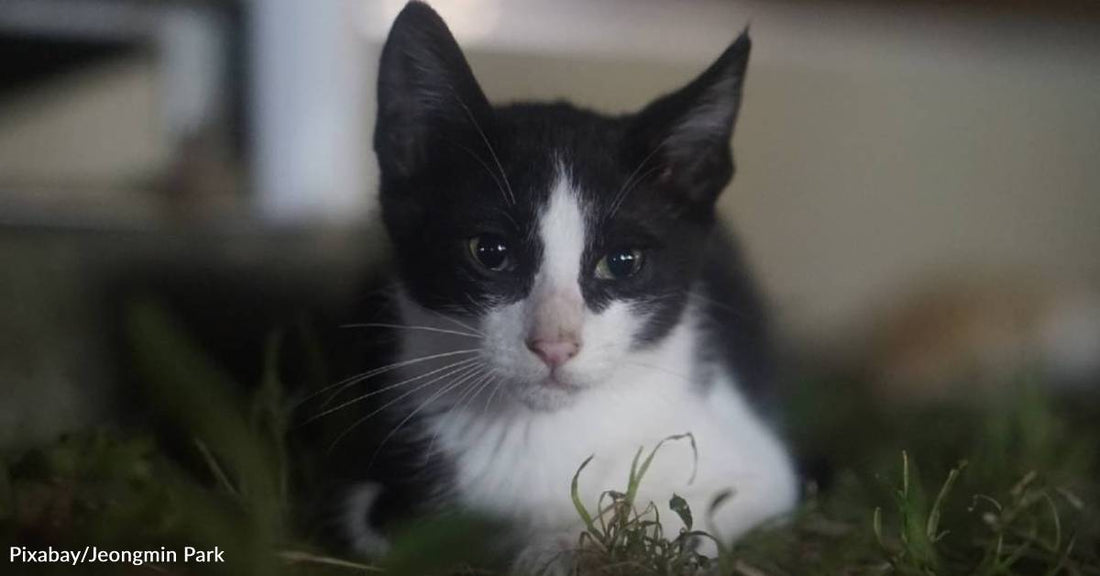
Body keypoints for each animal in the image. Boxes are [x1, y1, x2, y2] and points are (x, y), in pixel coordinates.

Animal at [321, 1, 796, 562]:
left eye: (622, 261)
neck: (539, 431)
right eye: (490, 252)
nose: (554, 345)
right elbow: (382, 525)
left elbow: (691, 519)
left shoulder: (757, 467)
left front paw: (562, 548)